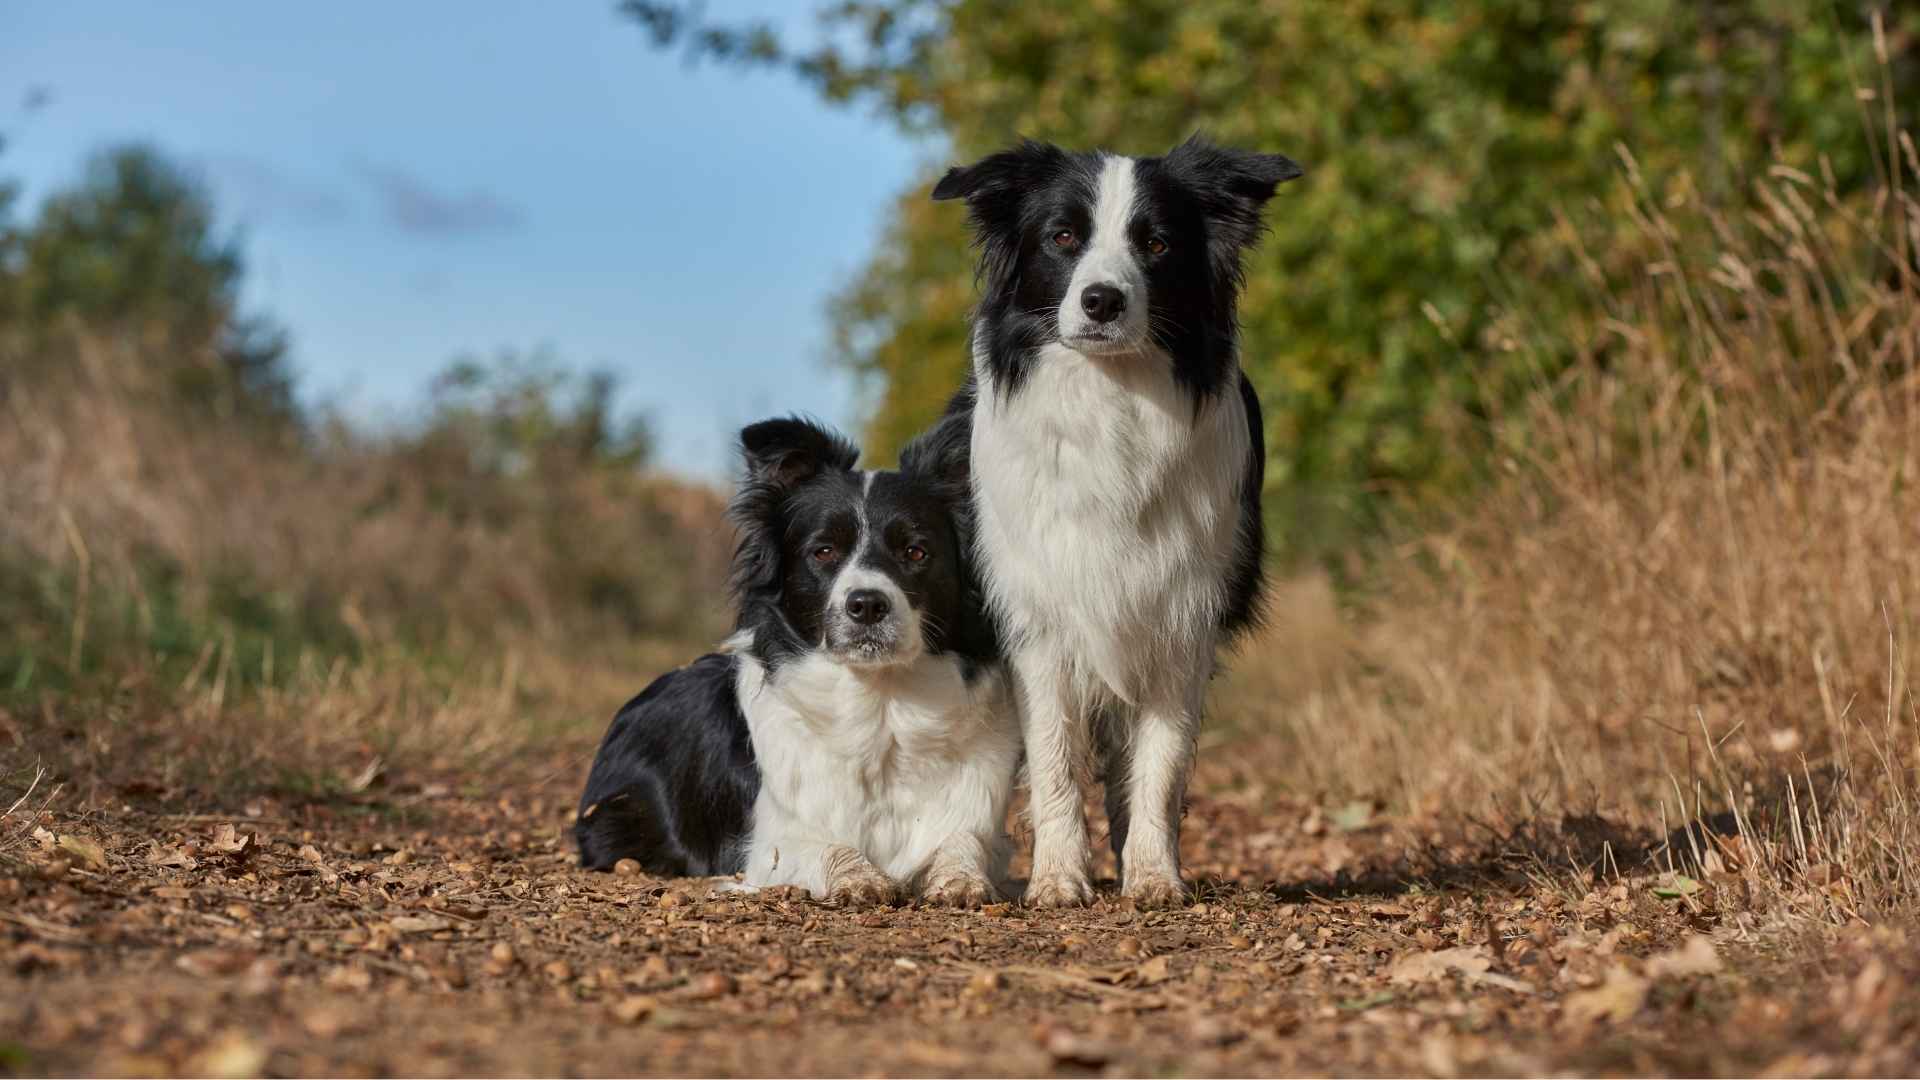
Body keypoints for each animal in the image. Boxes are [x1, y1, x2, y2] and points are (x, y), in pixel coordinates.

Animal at [572, 411, 1021, 899]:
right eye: (823, 551)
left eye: (915, 551)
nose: (867, 605)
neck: (880, 700)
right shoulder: (767, 843)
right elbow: (826, 846)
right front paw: (859, 876)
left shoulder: (974, 814)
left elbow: (965, 842)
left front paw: (962, 879)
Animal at [933, 136, 1297, 907]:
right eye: (1062, 238)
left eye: (1156, 244)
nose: (1102, 299)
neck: (1111, 398)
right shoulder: (1036, 620)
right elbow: (1053, 763)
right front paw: (1058, 878)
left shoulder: (1181, 612)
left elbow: (1160, 764)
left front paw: (1155, 874)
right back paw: (958, 875)